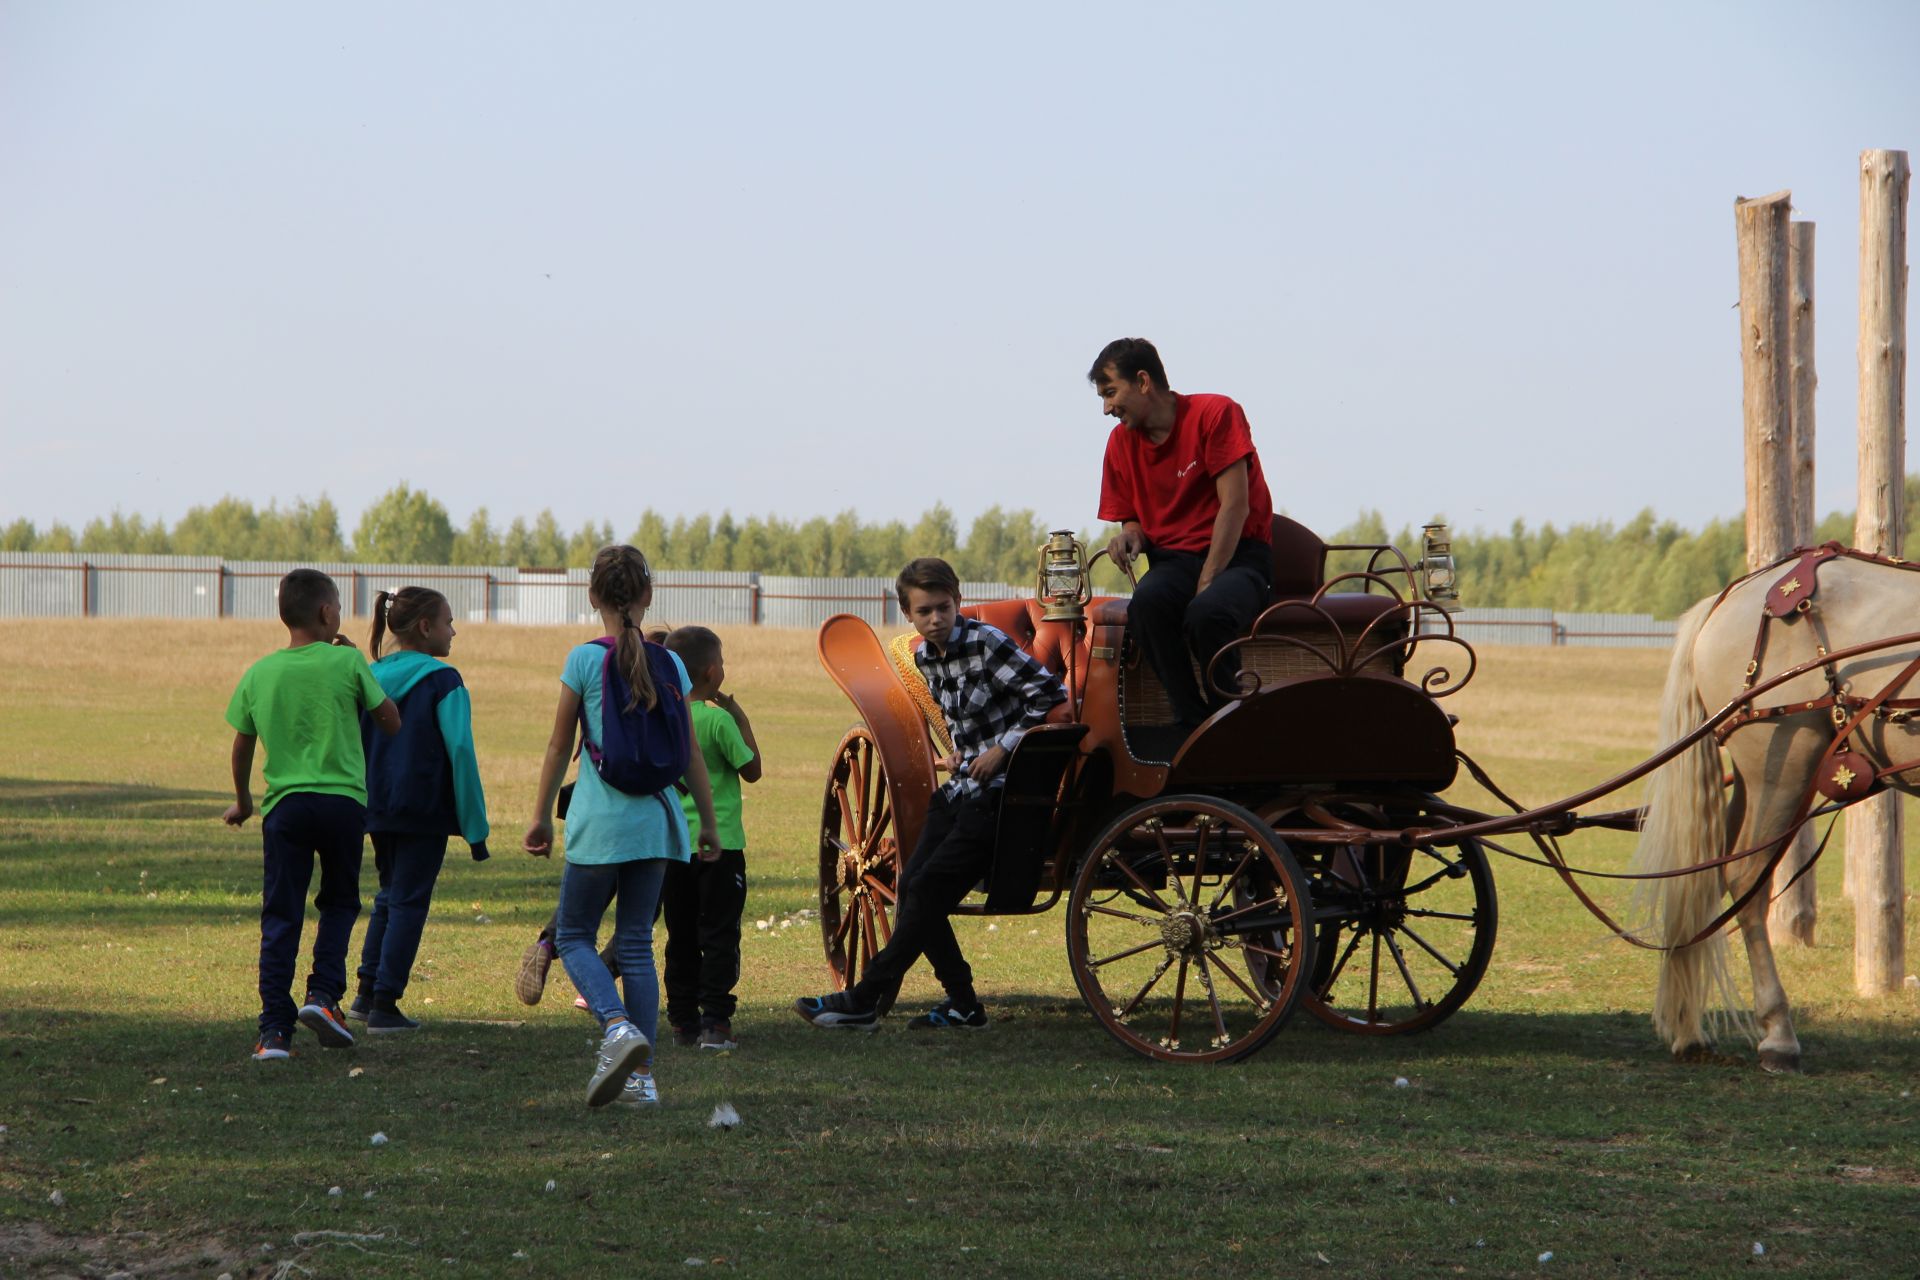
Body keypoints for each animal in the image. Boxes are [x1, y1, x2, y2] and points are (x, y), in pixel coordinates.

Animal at [1628, 556, 1920, 1074]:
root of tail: (1727, 598)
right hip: (1781, 769)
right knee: (1746, 880)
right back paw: (1778, 1035)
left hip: (1756, 781)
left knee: (1708, 876)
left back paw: (1687, 1029)